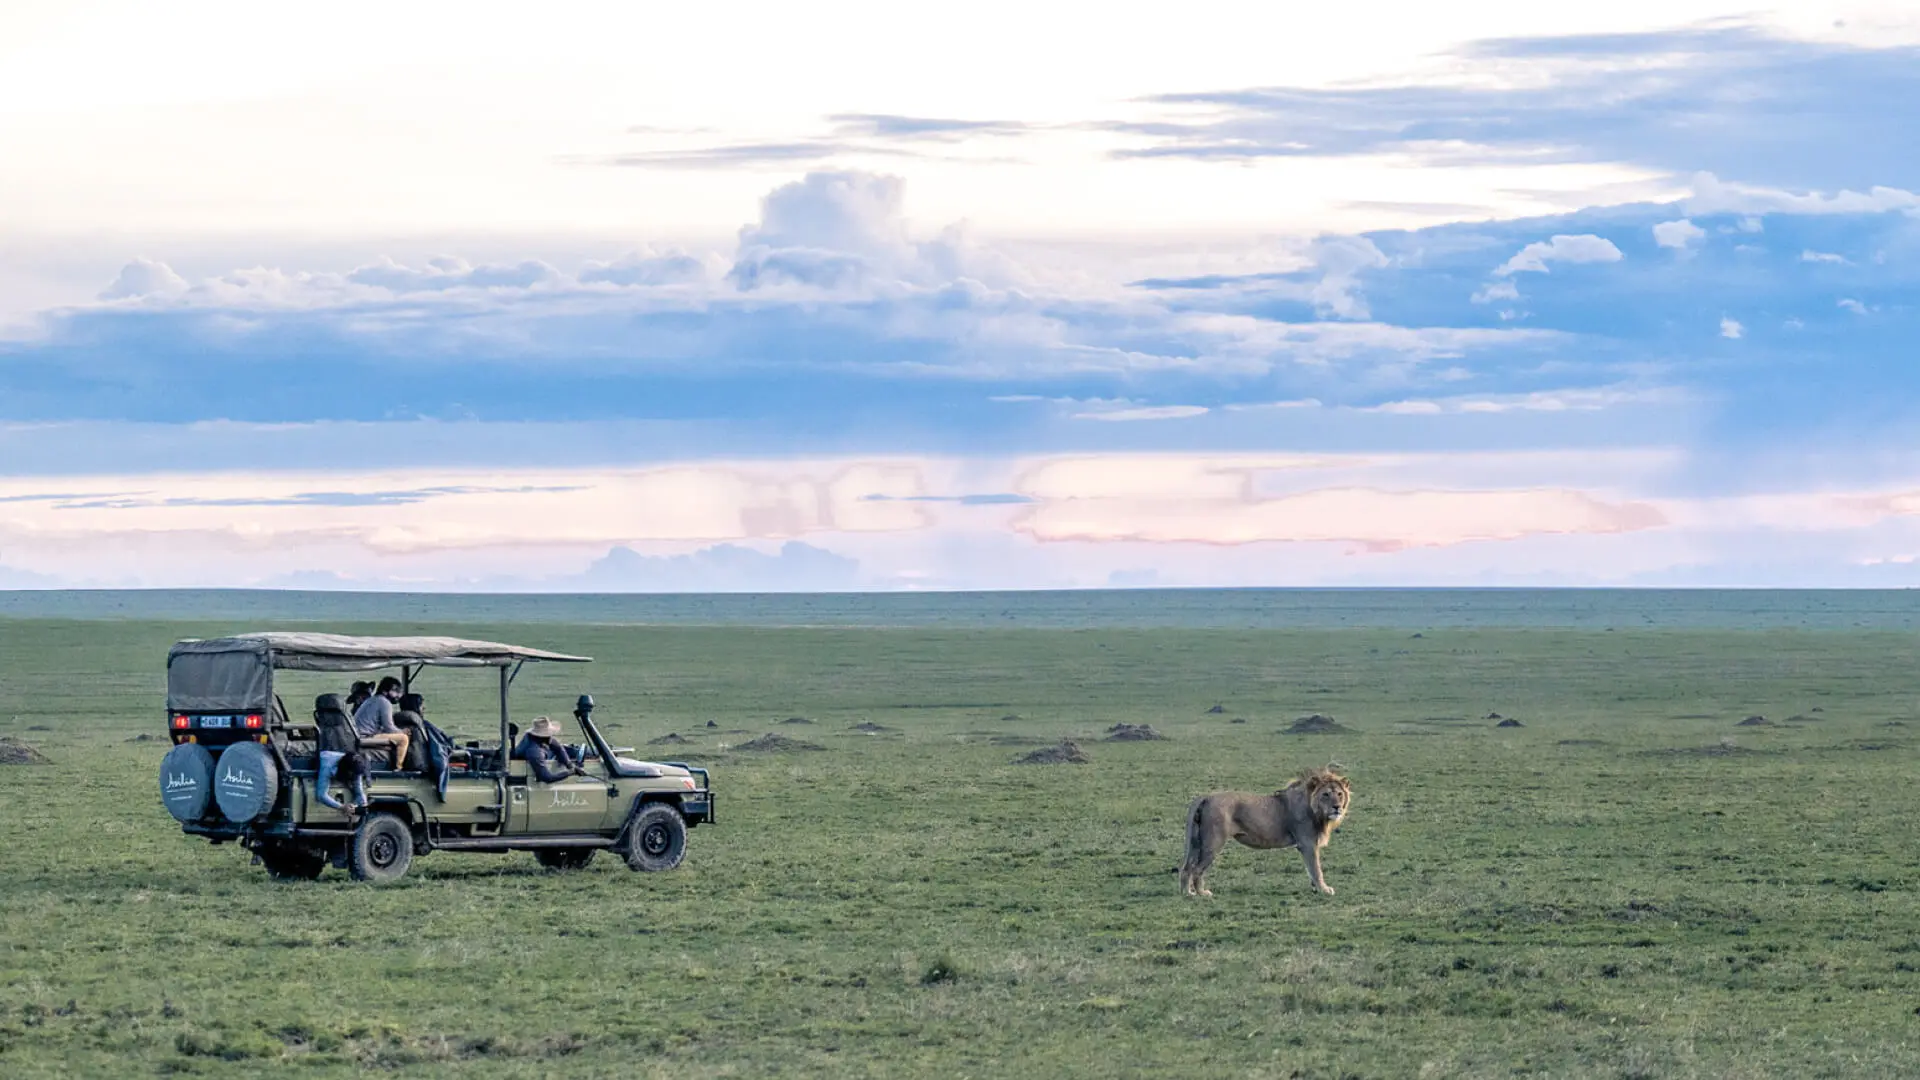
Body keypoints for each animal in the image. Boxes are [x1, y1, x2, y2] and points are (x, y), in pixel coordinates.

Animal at [1179, 766, 1350, 897]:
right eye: (1325, 794)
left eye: (1340, 794)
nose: (1337, 807)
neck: (1317, 812)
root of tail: (1206, 796)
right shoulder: (1307, 844)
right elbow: (1316, 869)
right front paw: (1324, 889)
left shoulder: (1308, 845)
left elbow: (1311, 869)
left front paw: (1315, 888)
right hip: (1213, 843)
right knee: (1197, 870)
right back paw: (1201, 893)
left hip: (1196, 842)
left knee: (1186, 868)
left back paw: (1187, 893)